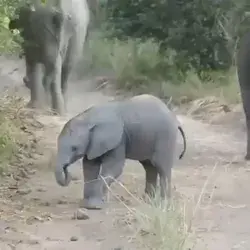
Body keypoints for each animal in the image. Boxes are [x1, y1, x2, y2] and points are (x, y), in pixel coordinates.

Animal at [54, 94, 186, 209]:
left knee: (162, 167)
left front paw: (94, 206)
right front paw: (86, 205)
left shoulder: (118, 140)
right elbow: (90, 167)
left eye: (74, 148)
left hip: (165, 137)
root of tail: (174, 118)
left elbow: (114, 168)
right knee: (149, 167)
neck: (89, 118)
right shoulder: (94, 143)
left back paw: (163, 203)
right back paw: (148, 201)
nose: (67, 172)